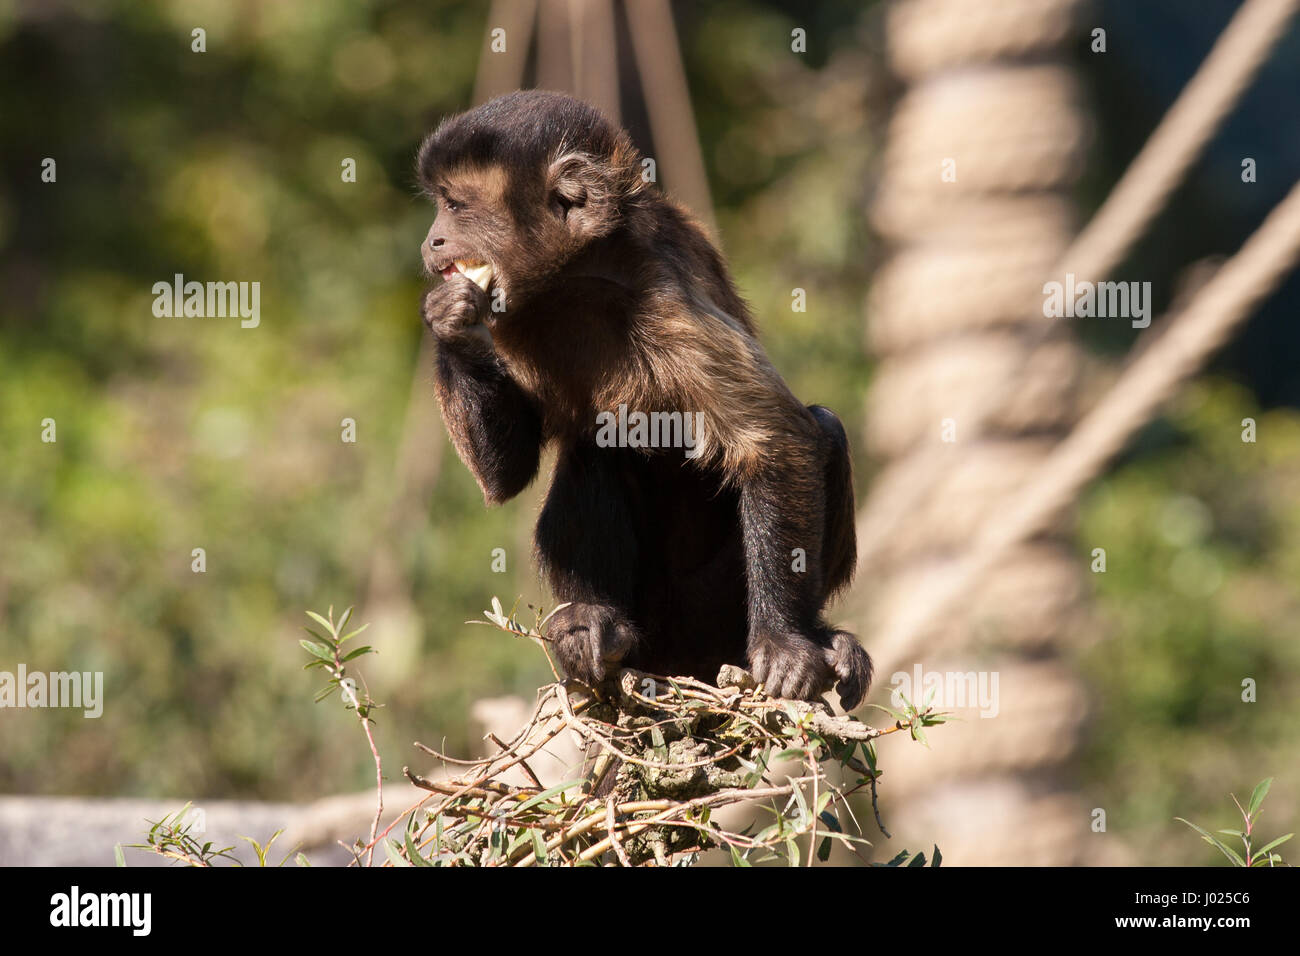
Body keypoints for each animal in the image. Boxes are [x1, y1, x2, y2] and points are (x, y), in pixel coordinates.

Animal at [416, 89, 873, 712]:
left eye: (455, 206)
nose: (431, 240)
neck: (578, 278)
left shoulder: (665, 295)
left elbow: (774, 442)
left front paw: (785, 645)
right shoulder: (512, 318)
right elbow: (505, 477)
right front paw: (451, 320)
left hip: (712, 610)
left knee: (824, 428)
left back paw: (822, 637)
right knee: (596, 449)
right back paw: (598, 626)